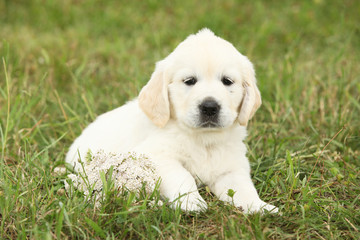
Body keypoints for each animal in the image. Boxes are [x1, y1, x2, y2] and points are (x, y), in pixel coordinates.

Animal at [65, 29, 278, 213]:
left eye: (227, 81)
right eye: (190, 81)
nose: (210, 107)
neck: (202, 139)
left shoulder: (232, 167)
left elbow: (244, 188)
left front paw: (260, 207)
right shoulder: (157, 157)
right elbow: (182, 176)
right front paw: (192, 202)